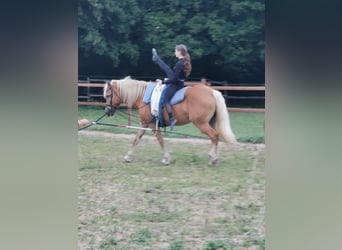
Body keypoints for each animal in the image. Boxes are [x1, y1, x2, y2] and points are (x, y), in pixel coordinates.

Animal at [103, 76, 236, 166]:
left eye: (108, 95)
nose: (107, 110)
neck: (142, 96)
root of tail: (212, 92)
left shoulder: (152, 124)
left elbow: (160, 140)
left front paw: (166, 159)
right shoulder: (144, 123)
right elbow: (136, 139)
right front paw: (128, 157)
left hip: (201, 123)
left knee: (214, 135)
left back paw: (213, 158)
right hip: (210, 123)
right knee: (215, 137)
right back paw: (213, 158)